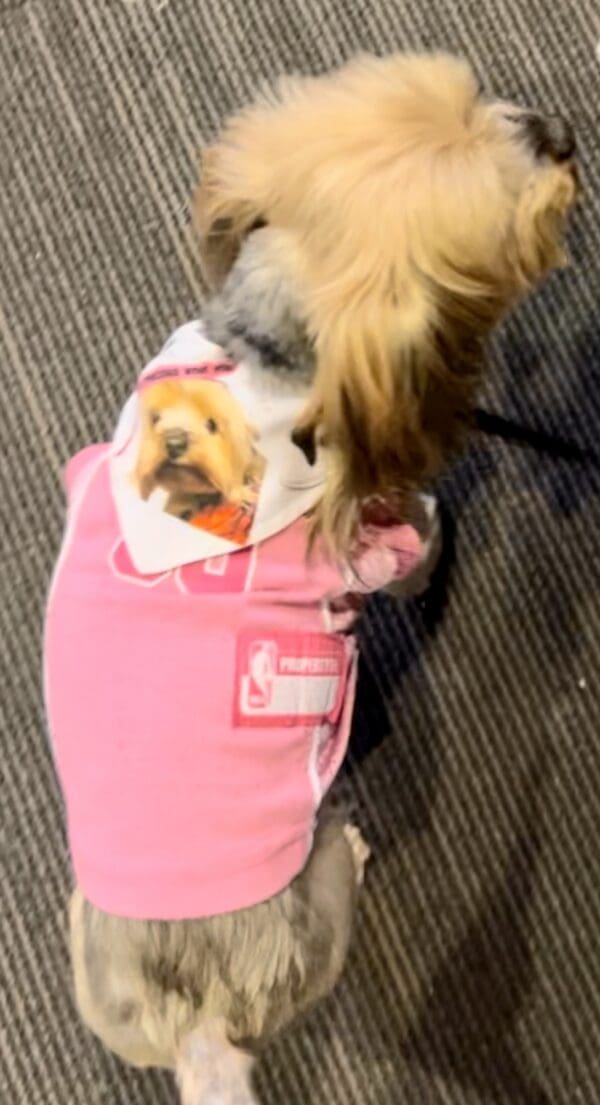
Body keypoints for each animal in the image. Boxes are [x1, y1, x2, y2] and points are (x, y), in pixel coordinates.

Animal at [44, 51, 574, 1105]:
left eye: (478, 94)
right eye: (514, 222)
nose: (566, 133)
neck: (264, 359)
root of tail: (200, 1026)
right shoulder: (380, 542)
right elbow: (420, 535)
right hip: (318, 893)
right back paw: (359, 849)